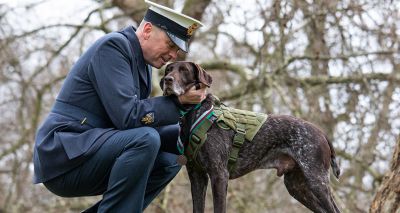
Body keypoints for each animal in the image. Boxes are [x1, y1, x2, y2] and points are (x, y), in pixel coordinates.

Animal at [159, 61, 340, 213]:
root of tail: (321, 132)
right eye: (168, 69)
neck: (193, 114)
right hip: (296, 186)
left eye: (184, 70)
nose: (167, 80)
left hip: (316, 181)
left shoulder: (219, 174)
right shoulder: (197, 176)